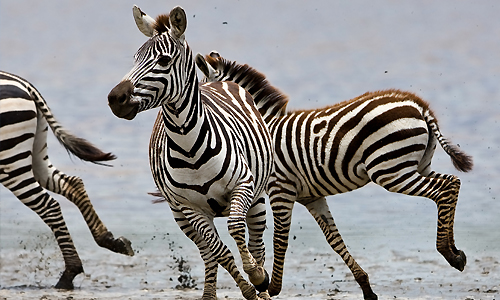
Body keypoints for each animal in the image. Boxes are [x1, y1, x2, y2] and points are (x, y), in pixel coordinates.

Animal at [0, 69, 134, 288]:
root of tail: (24, 84)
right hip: (34, 150)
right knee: (72, 183)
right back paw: (109, 240)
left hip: (10, 160)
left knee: (50, 206)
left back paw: (69, 273)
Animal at [106, 7, 276, 300]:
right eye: (135, 58)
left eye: (164, 60)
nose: (116, 98)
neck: (189, 148)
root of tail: (213, 82)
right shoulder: (189, 207)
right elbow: (220, 252)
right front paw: (246, 287)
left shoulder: (242, 187)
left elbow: (235, 228)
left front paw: (256, 277)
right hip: (180, 217)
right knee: (209, 254)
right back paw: (211, 294)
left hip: (256, 201)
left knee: (256, 245)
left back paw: (261, 281)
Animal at [196, 52, 472, 300]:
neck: (258, 125)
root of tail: (419, 105)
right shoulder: (311, 196)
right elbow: (334, 240)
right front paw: (366, 287)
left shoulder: (281, 189)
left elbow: (280, 238)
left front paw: (272, 287)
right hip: (415, 166)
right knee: (451, 183)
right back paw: (455, 252)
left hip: (391, 170)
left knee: (443, 189)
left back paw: (448, 252)